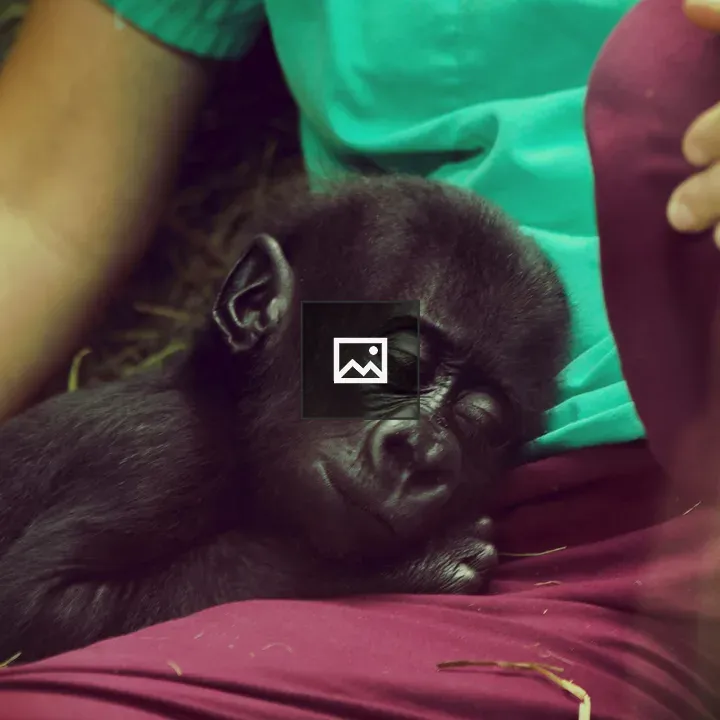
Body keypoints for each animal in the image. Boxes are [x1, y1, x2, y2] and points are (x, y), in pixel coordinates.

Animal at [0, 175, 569, 663]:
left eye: (481, 422)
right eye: (397, 361)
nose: (422, 453)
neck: (222, 408)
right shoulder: (159, 455)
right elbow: (31, 606)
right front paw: (406, 564)